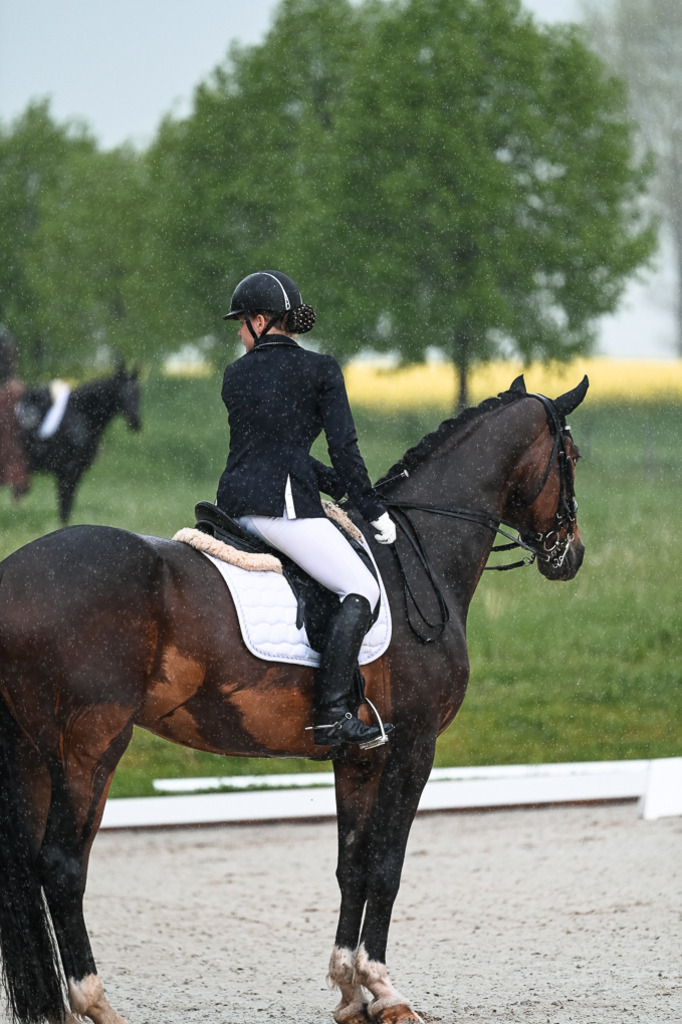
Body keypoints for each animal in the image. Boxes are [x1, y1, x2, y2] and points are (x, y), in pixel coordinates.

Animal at [16, 364, 141, 524]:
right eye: (123, 394)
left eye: (138, 394)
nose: (136, 423)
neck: (80, 415)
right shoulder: (69, 471)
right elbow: (65, 508)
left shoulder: (74, 472)